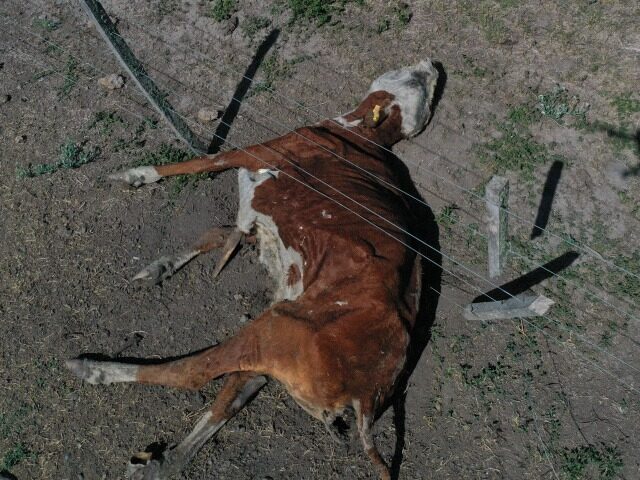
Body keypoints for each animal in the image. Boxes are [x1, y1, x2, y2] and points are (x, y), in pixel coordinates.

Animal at [66, 59, 440, 480]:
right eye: (417, 80)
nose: (432, 64)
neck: (358, 133)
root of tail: (367, 397)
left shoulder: (263, 150)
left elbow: (202, 162)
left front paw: (137, 174)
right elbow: (220, 231)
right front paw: (162, 266)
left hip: (276, 328)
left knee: (192, 372)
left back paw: (93, 368)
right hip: (275, 343)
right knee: (231, 396)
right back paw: (162, 460)